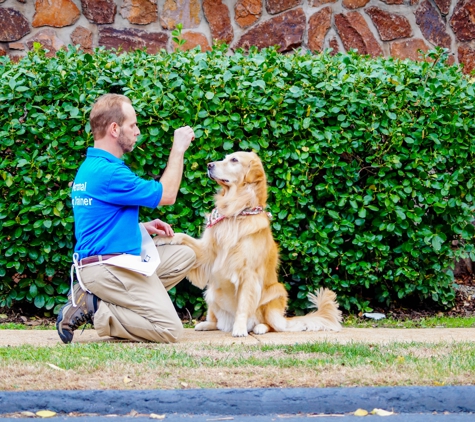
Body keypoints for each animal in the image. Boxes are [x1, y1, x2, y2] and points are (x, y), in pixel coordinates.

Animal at [162, 152, 340, 336]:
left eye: (234, 160)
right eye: (224, 157)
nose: (209, 165)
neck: (235, 211)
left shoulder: (248, 274)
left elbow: (243, 306)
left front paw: (240, 329)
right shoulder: (208, 254)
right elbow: (185, 238)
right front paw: (165, 237)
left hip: (276, 294)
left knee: (273, 325)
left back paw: (258, 327)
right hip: (211, 292)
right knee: (216, 319)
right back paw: (207, 324)